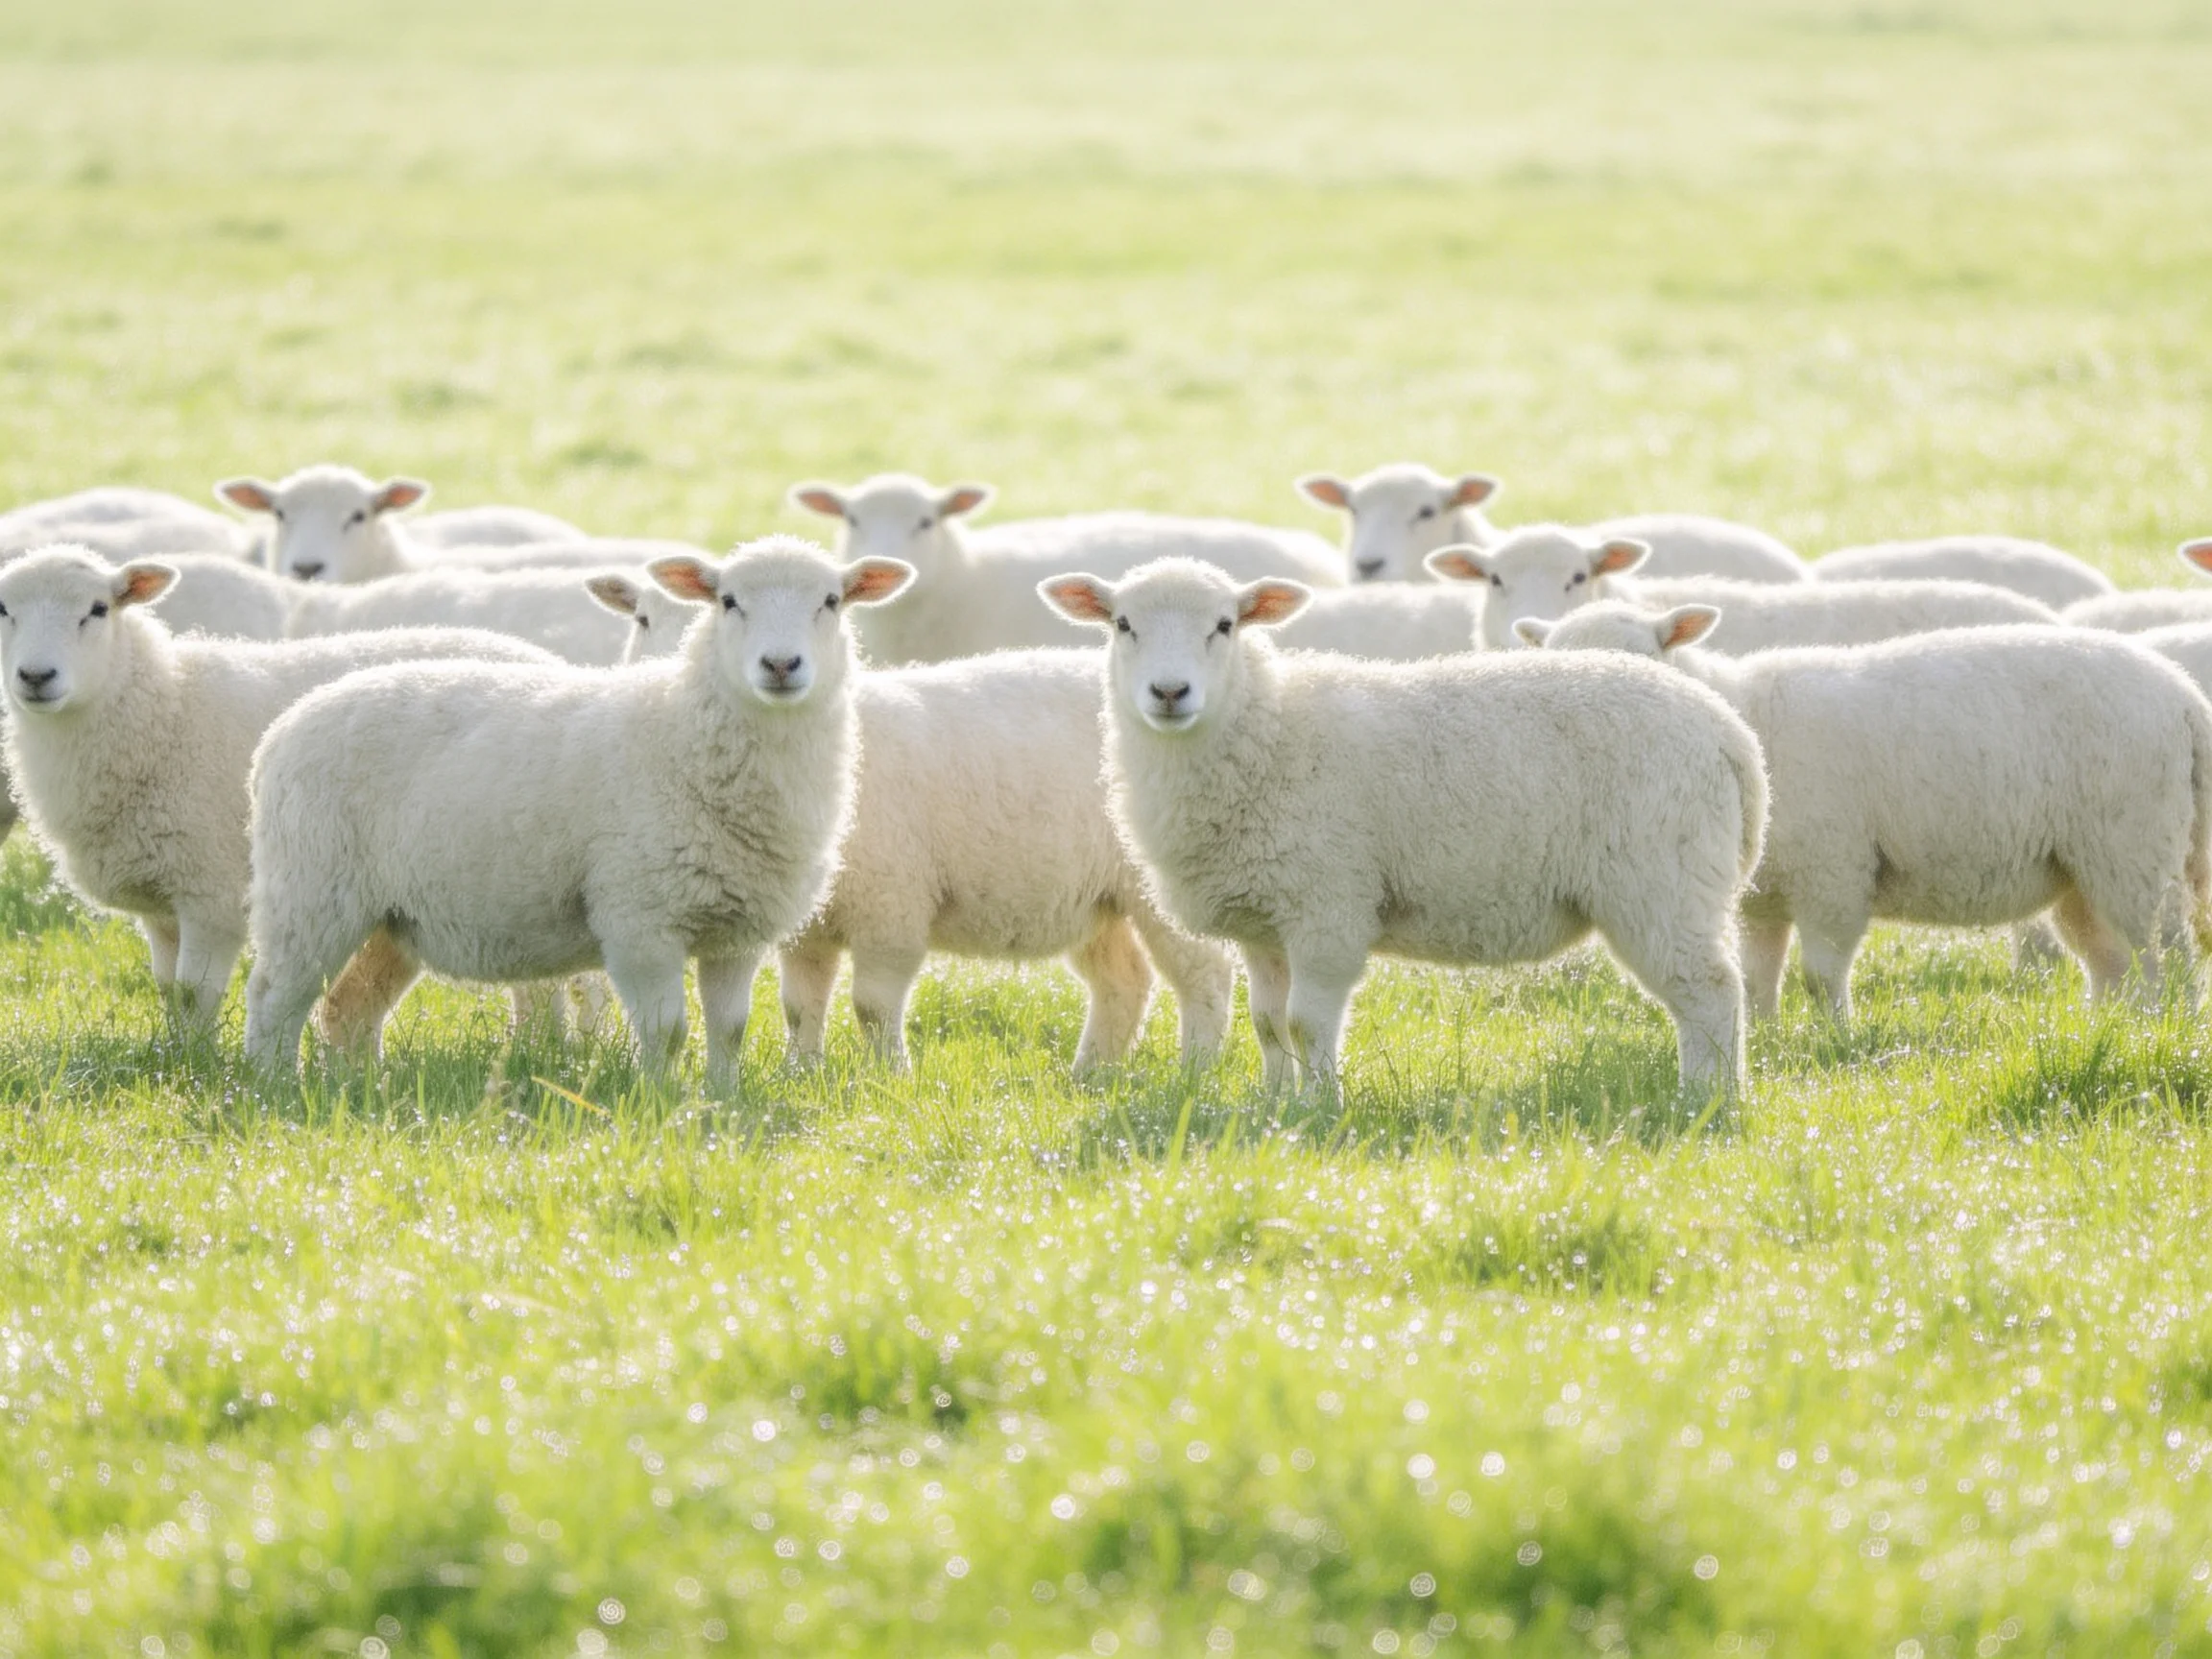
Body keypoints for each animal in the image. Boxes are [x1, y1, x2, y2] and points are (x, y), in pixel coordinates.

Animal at [0, 545, 561, 1032]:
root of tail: (547, 660)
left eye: (97, 610)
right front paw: (173, 1054)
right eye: (3, 609)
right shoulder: (160, 905)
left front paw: (196, 1064)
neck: (162, 707)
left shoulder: (211, 893)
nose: (36, 676)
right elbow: (168, 991)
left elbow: (195, 994)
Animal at [242, 537, 913, 1081]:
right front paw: (660, 1102)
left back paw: (362, 1087)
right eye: (728, 602)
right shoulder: (638, 918)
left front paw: (721, 1102)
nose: (780, 665)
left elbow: (729, 1031)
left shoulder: (737, 928)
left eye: (831, 601)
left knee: (348, 1008)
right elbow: (667, 1032)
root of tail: (282, 730)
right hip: (311, 891)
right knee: (273, 996)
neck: (683, 731)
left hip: (389, 915)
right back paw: (274, 1087)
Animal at [1036, 558, 1766, 1094]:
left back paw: (1709, 1102)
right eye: (1122, 624)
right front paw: (1272, 1107)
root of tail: (1728, 731)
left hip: (1662, 881)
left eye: (1225, 625)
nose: (1169, 693)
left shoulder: (1328, 906)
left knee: (1711, 994)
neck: (1265, 731)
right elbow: (1268, 1025)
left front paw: (1319, 1110)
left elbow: (1305, 1024)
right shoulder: (1264, 918)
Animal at [1525, 600, 2212, 1018]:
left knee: (2168, 951)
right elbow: (1758, 978)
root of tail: (2183, 696)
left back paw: (2163, 1027)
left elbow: (1820, 975)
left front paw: (1836, 1040)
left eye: (1641, 654)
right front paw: (1766, 1039)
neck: (1743, 711)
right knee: (2112, 962)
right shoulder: (1762, 897)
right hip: (2079, 869)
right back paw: (2109, 1028)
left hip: (2133, 849)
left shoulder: (1835, 873)